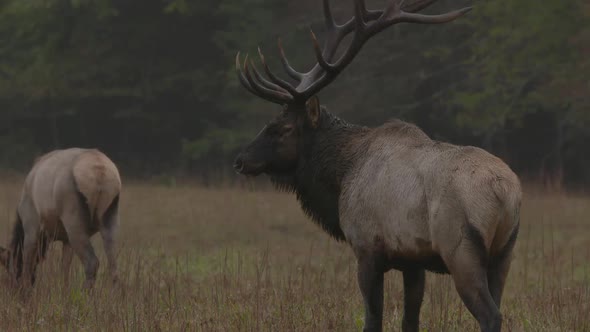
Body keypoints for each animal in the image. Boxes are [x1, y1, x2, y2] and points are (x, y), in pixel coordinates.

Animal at [0, 149, 121, 290]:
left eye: (10, 271)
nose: (13, 289)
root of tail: (100, 173)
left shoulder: (31, 228)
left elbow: (27, 265)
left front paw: (26, 291)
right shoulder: (66, 240)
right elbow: (64, 270)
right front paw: (65, 292)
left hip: (74, 223)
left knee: (92, 262)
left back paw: (84, 293)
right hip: (110, 219)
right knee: (113, 265)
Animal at [235, 0, 524, 332]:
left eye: (282, 128)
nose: (241, 160)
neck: (341, 176)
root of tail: (506, 191)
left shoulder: (367, 248)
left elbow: (372, 318)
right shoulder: (413, 261)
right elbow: (410, 319)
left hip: (461, 248)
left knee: (491, 314)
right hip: (504, 252)